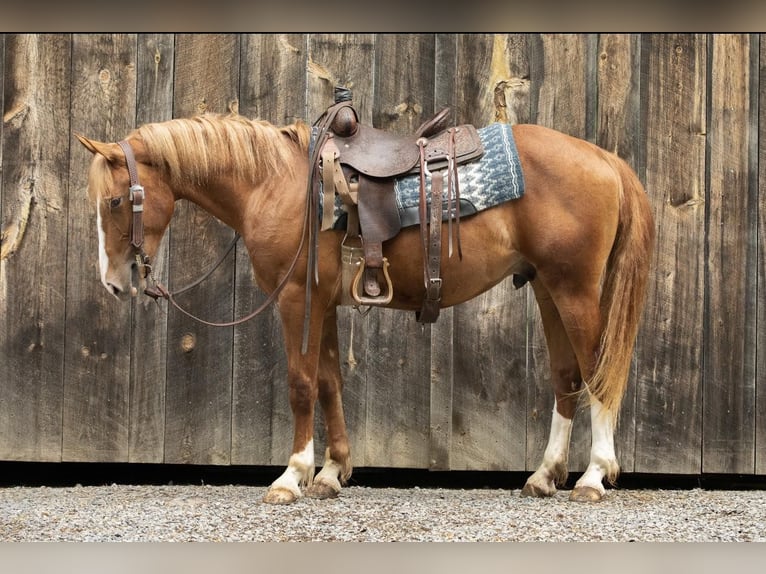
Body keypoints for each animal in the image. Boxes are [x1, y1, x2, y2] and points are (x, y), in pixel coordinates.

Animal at [76, 110, 656, 506]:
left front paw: (292, 476)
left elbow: (301, 384)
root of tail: (606, 160)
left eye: (113, 201)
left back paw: (593, 476)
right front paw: (332, 473)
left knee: (598, 374)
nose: (113, 283)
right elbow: (330, 382)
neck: (275, 185)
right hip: (547, 289)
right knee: (566, 376)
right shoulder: (325, 305)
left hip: (574, 289)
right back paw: (544, 475)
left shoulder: (296, 300)